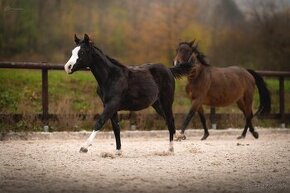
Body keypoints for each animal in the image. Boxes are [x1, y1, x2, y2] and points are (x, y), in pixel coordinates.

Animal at [65, 33, 194, 154]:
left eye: (82, 52)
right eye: (72, 52)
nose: (67, 67)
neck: (111, 77)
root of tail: (168, 70)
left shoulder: (112, 105)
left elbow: (100, 122)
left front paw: (84, 147)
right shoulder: (110, 106)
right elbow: (116, 128)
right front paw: (118, 151)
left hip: (167, 100)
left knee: (170, 120)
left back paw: (171, 148)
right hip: (156, 103)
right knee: (167, 120)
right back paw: (178, 137)